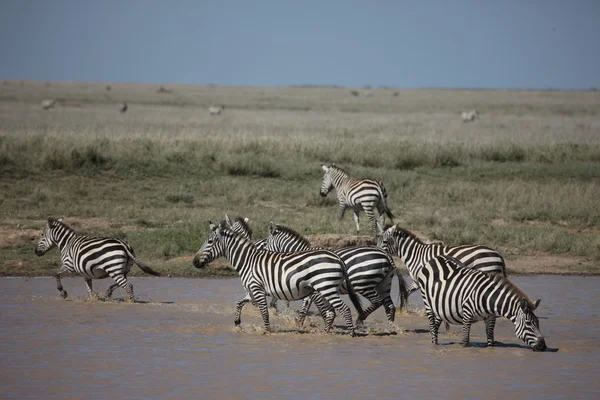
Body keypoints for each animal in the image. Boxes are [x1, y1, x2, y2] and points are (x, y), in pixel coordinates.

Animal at [193, 220, 366, 336]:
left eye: (209, 241)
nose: (194, 262)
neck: (248, 260)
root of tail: (338, 259)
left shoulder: (257, 289)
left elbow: (264, 311)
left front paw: (267, 331)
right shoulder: (252, 291)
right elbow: (239, 303)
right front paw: (237, 323)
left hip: (325, 287)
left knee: (343, 309)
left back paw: (351, 334)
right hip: (326, 289)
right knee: (331, 312)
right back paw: (325, 333)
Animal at [264, 220, 412, 326]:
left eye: (265, 245)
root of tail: (386, 254)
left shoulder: (315, 287)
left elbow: (319, 308)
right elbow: (305, 306)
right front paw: (299, 324)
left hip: (363, 283)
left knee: (378, 302)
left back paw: (361, 319)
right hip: (384, 283)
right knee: (389, 306)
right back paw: (391, 327)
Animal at [420, 255, 548, 352]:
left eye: (538, 322)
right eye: (528, 323)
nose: (543, 347)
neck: (488, 299)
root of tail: (435, 258)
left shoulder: (491, 318)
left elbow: (490, 341)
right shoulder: (467, 314)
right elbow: (465, 341)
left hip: (441, 305)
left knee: (436, 325)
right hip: (427, 302)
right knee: (432, 327)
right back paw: (434, 346)